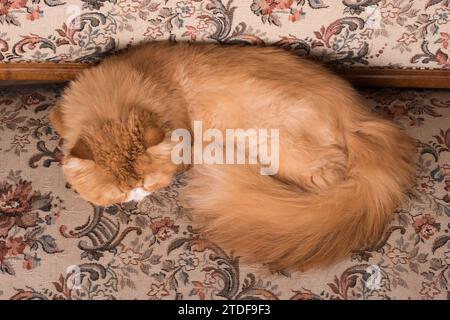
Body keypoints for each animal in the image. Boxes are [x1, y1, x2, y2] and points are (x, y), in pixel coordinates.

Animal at [51, 41, 416, 272]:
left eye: (147, 182)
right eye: (120, 189)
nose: (137, 193)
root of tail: (360, 119)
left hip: (279, 146)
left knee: (325, 181)